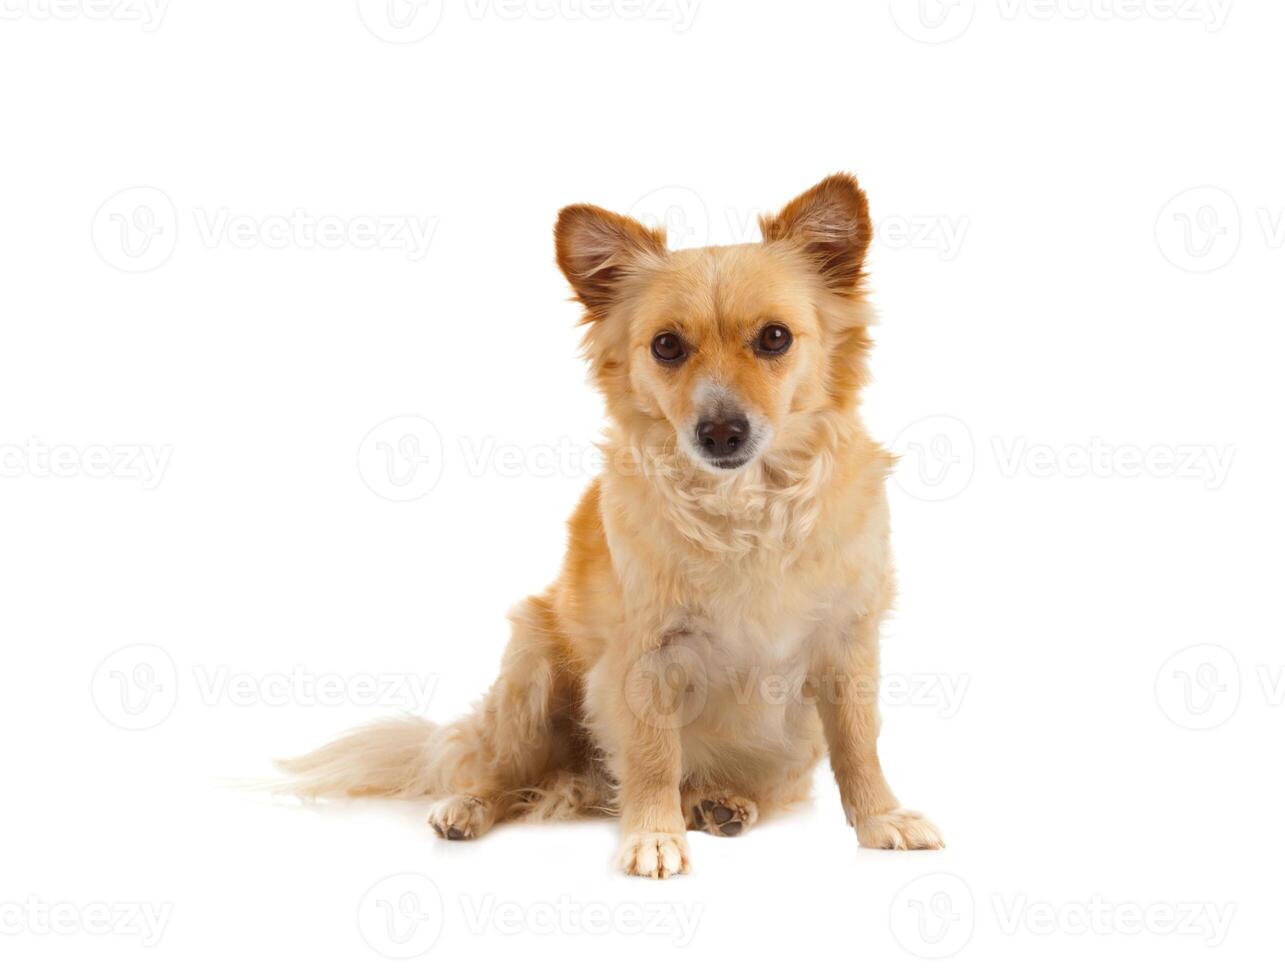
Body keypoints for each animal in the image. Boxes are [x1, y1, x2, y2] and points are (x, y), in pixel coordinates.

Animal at [281, 175, 945, 883]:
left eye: (774, 338)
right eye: (666, 346)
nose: (720, 431)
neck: (745, 505)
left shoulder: (847, 646)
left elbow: (859, 743)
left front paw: (880, 816)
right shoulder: (644, 659)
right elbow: (653, 755)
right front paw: (653, 834)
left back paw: (718, 802)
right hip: (532, 671)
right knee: (498, 769)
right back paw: (470, 805)